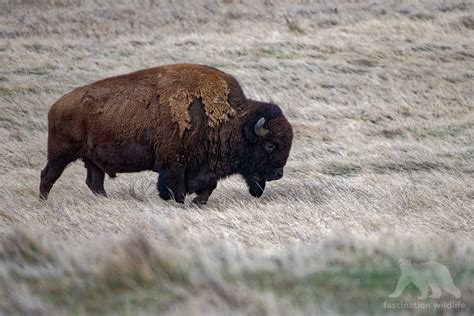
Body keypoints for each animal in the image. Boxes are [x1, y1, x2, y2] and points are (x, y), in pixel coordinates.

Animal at [40, 63, 292, 204]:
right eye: (270, 145)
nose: (278, 174)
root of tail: (56, 106)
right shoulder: (174, 165)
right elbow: (175, 189)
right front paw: (181, 202)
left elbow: (209, 186)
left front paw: (197, 203)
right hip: (61, 153)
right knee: (48, 176)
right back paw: (44, 202)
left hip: (92, 160)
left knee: (95, 184)